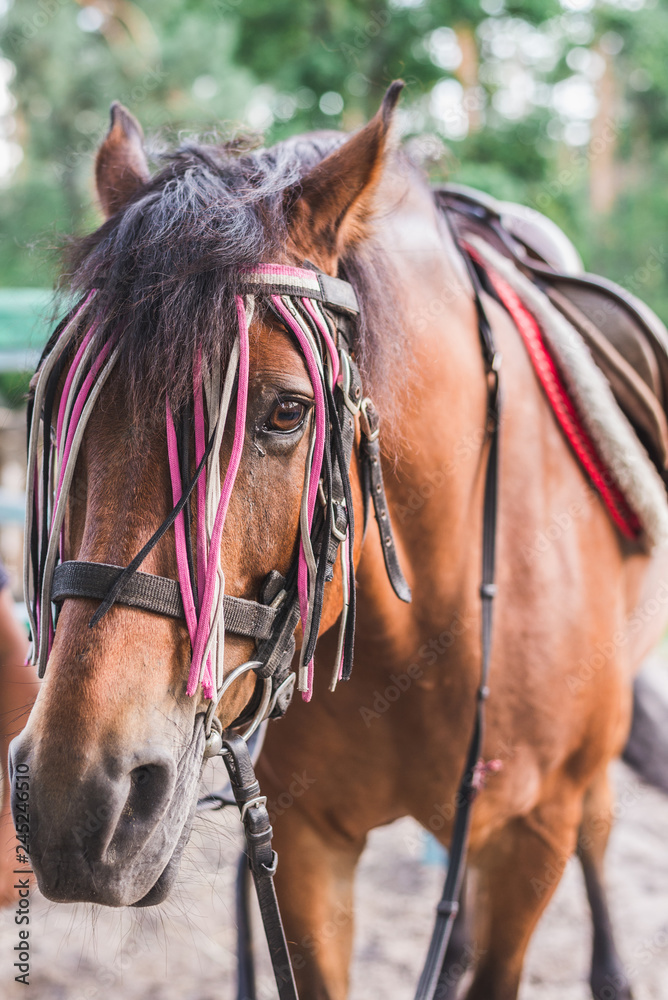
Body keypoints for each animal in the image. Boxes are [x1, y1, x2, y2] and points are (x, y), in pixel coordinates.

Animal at [10, 84, 668, 1000]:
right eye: (63, 409)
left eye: (288, 411)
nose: (77, 802)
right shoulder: (307, 844)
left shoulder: (529, 841)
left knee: (598, 831)